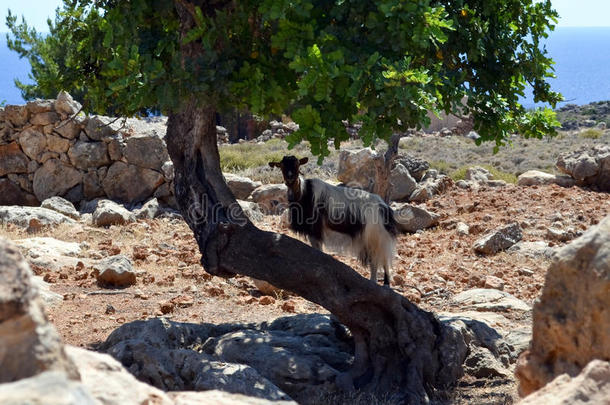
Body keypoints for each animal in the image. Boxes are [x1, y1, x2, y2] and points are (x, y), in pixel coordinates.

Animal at [268, 154, 396, 284]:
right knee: (375, 260)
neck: (304, 193)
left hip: (377, 236)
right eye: (282, 166)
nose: (290, 178)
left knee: (380, 260)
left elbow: (318, 250)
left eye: (297, 164)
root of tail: (384, 207)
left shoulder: (316, 230)